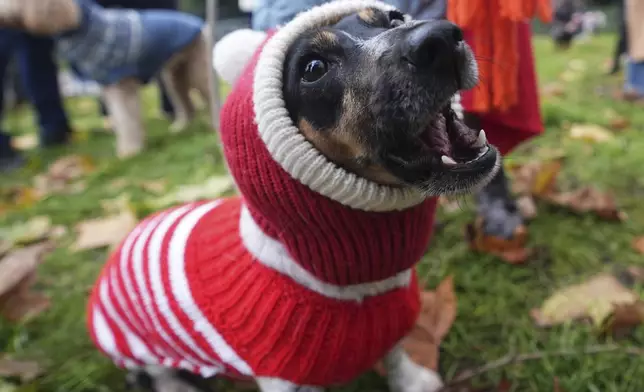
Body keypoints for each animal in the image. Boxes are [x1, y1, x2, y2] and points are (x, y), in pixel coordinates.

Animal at [0, 0, 214, 158]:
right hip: (174, 74)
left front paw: (130, 151)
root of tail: (200, 23)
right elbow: (119, 118)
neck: (83, 24)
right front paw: (126, 145)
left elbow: (126, 118)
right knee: (184, 100)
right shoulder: (109, 86)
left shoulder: (120, 83)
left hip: (197, 67)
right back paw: (182, 125)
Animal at [83, 1, 500, 390]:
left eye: (394, 18)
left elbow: (397, 354)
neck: (358, 280)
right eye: (313, 68)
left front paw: (412, 379)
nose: (441, 39)